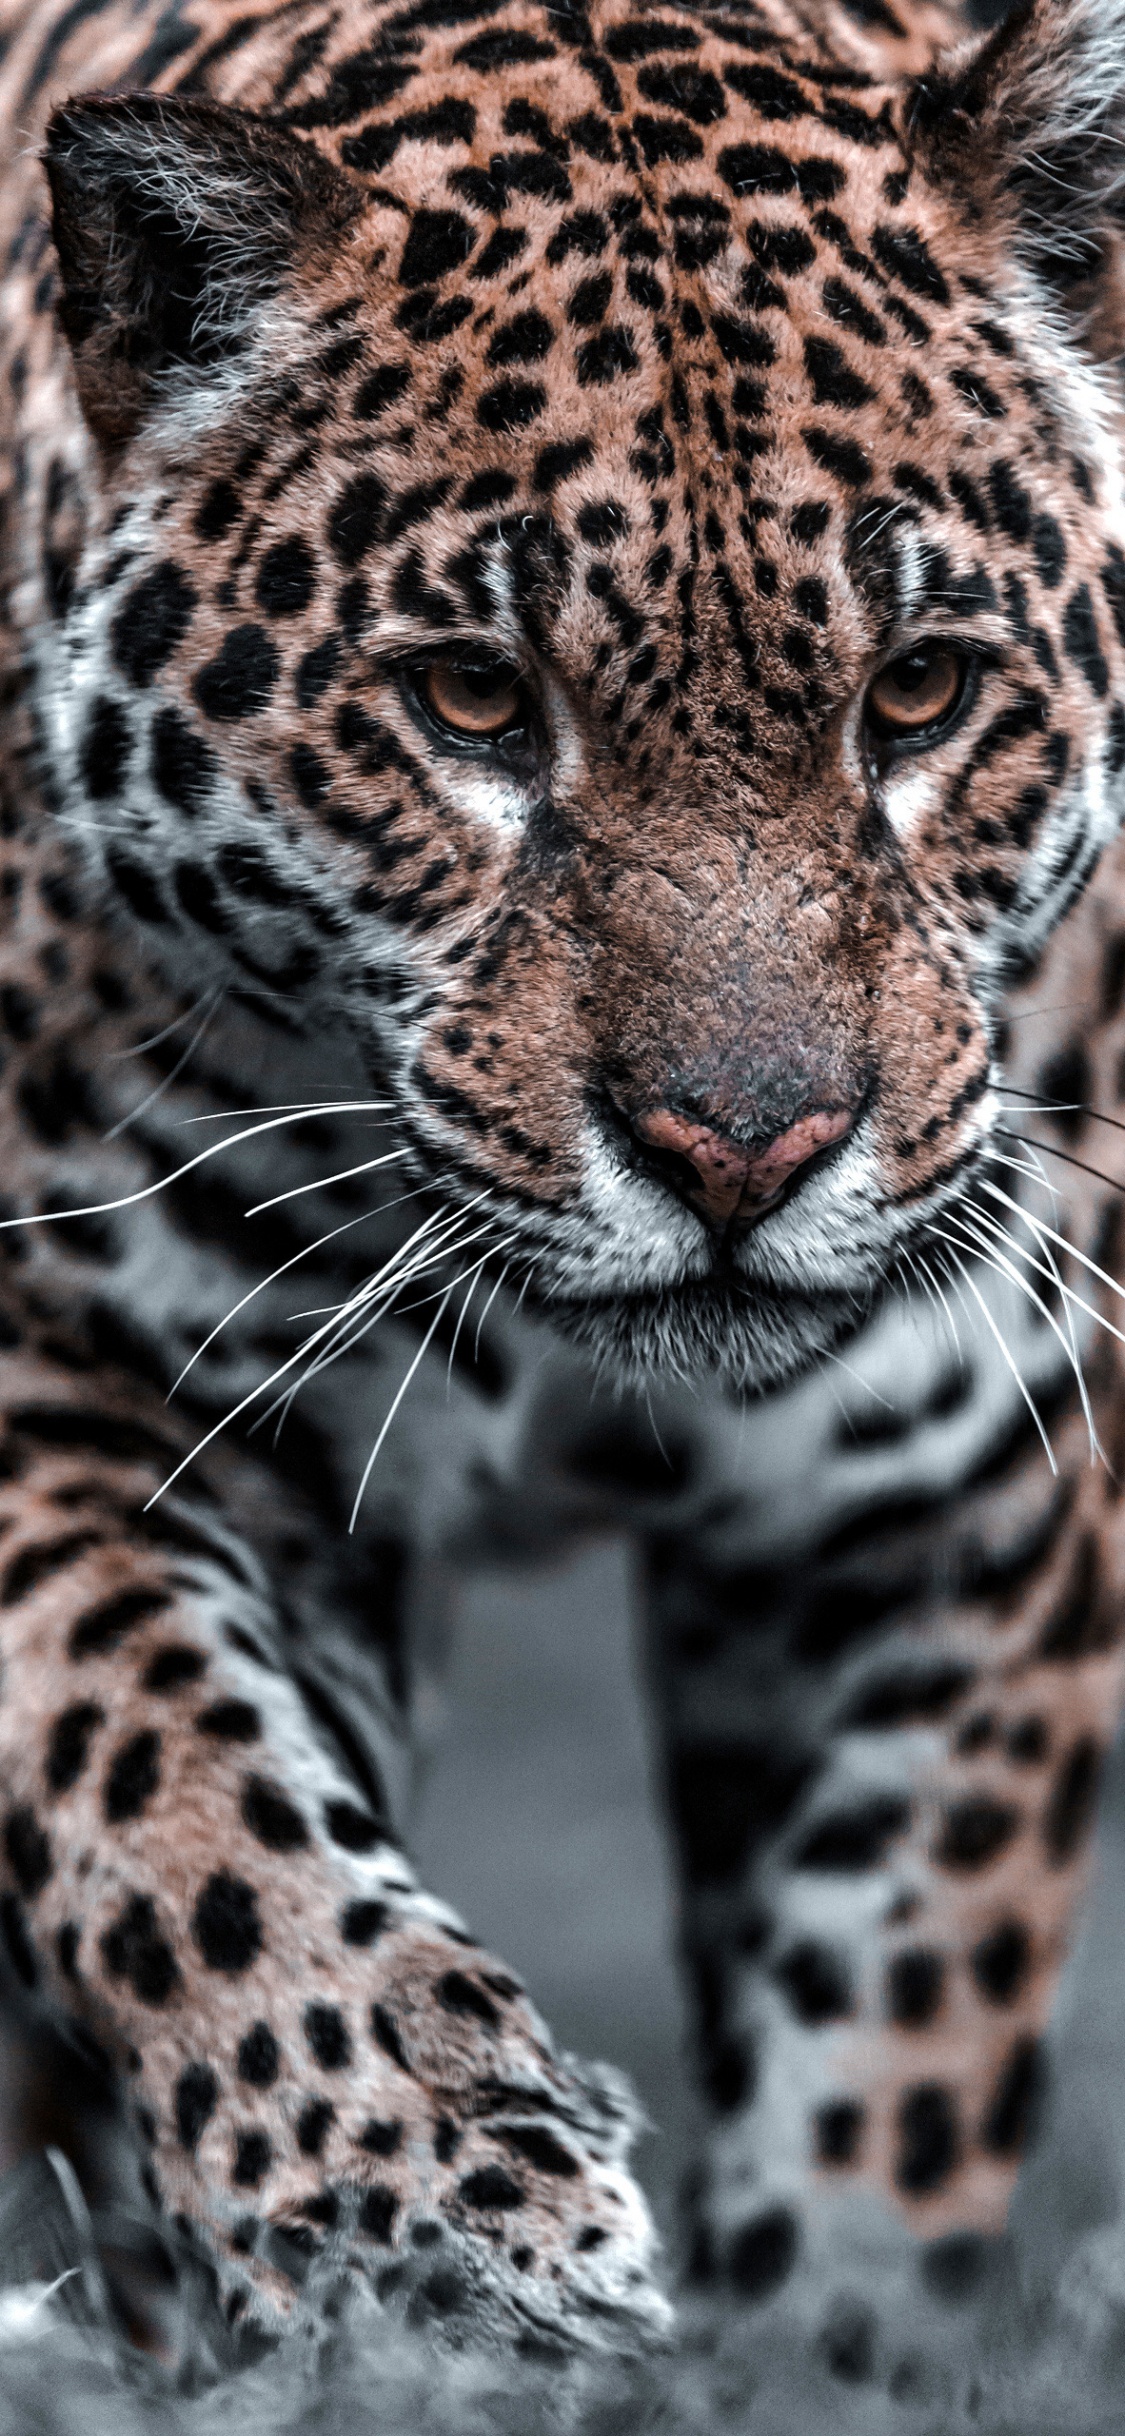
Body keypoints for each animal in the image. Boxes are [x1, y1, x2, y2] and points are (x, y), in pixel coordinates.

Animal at [3, 0, 1125, 2403]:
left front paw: (815, 2372)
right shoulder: (75, 1381)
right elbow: (177, 1787)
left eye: (918, 692)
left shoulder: (950, 1497)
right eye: (470, 699)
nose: (744, 1148)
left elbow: (884, 2047)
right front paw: (429, 2222)